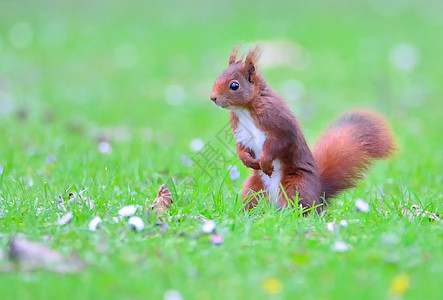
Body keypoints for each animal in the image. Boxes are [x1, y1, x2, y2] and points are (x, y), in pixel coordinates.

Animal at [210, 46, 398, 211]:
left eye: (234, 85)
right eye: (217, 77)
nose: (213, 98)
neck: (244, 110)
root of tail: (319, 196)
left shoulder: (280, 124)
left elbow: (280, 143)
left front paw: (265, 163)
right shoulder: (240, 131)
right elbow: (241, 147)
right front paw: (248, 161)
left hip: (296, 186)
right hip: (253, 189)